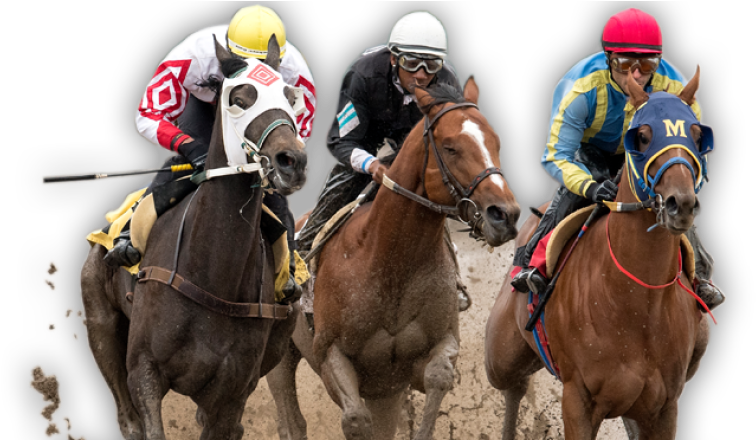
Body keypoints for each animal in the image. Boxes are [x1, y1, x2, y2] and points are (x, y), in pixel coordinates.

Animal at [78, 36, 308, 440]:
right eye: (238, 98)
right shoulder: (144, 372)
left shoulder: (231, 394)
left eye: (288, 95)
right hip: (101, 325)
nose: (291, 161)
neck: (212, 273)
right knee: (126, 417)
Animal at [266, 76, 522, 440]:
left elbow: (439, 376)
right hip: (282, 355)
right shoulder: (330, 356)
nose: (505, 215)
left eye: (496, 142)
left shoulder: (420, 360)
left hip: (383, 392)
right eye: (450, 147)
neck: (391, 262)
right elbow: (355, 419)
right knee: (291, 420)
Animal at [484, 64, 715, 440]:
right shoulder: (577, 400)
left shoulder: (665, 407)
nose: (680, 203)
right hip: (500, 356)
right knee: (513, 388)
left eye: (697, 135)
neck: (635, 304)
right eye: (642, 136)